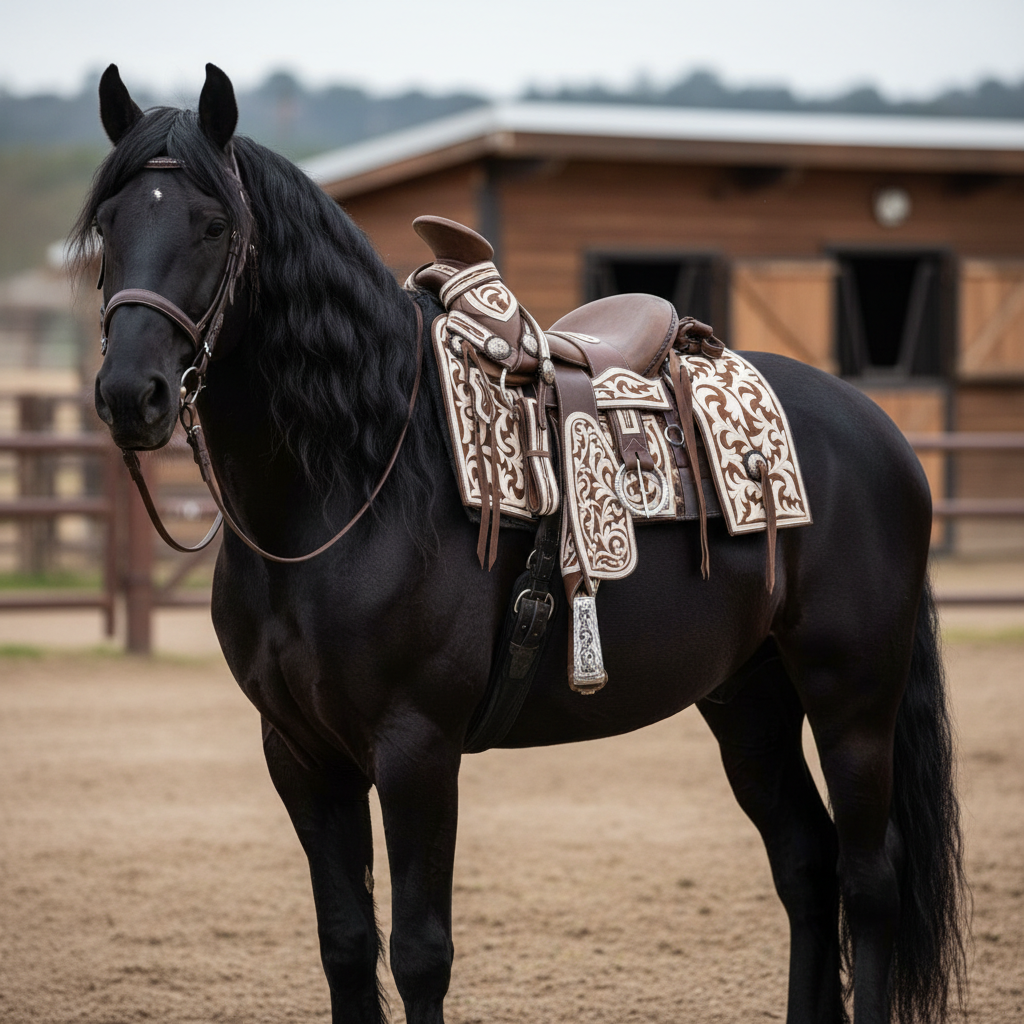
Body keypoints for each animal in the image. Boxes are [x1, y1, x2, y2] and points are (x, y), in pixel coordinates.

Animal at [78, 63, 968, 1024]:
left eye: (213, 225)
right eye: (108, 226)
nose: (132, 394)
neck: (356, 481)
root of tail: (879, 432)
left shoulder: (416, 748)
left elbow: (420, 954)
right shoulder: (300, 754)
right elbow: (346, 948)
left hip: (853, 695)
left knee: (870, 883)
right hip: (748, 697)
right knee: (807, 866)